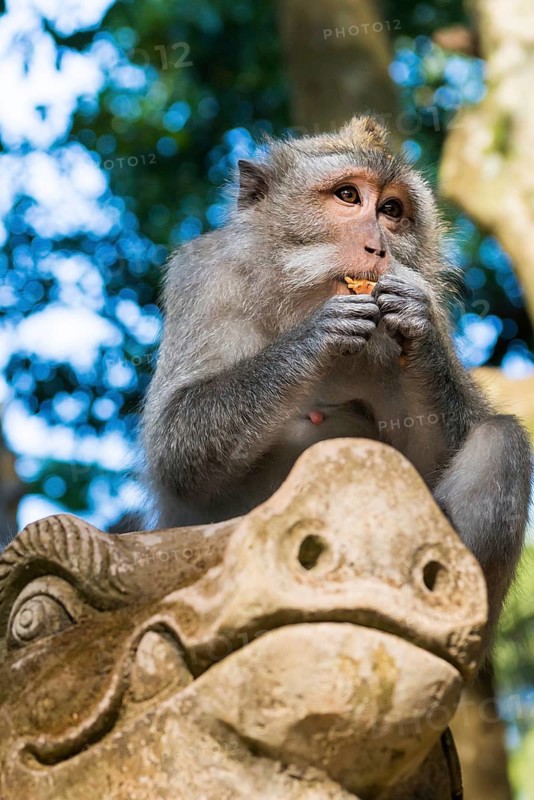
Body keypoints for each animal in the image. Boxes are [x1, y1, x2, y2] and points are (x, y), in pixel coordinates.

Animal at [142, 115, 532, 638]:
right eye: (348, 196)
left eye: (391, 210)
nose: (379, 247)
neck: (295, 299)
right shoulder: (205, 278)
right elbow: (177, 448)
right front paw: (316, 337)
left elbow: (433, 453)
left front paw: (418, 326)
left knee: (501, 438)